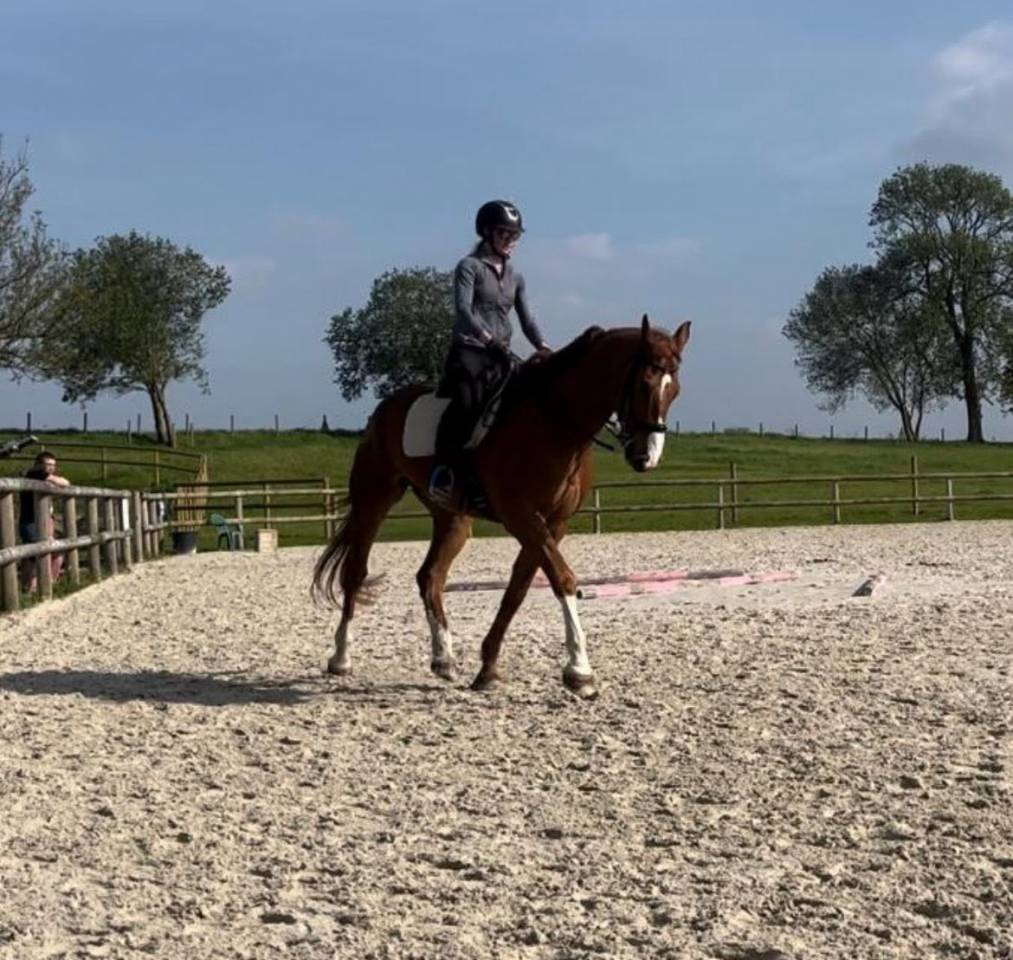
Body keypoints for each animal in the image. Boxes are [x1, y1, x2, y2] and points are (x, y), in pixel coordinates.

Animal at [313, 315, 691, 699]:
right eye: (643, 384)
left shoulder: (553, 524)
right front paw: (580, 672)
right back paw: (341, 657)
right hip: (374, 498)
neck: (554, 421)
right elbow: (563, 579)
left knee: (430, 576)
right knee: (355, 572)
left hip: (452, 518)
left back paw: (443, 659)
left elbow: (518, 590)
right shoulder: (521, 516)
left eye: (674, 390)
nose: (645, 458)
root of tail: (386, 407)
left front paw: (488, 668)